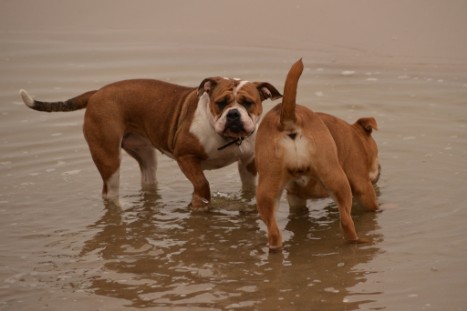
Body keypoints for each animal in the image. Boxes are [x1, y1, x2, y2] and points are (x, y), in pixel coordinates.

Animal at [20, 77, 282, 208]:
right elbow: (202, 184)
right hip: (107, 156)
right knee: (109, 192)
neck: (225, 138)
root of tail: (97, 92)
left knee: (148, 178)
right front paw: (201, 203)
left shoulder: (248, 162)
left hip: (145, 154)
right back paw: (122, 205)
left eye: (248, 103)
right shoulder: (185, 157)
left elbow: (248, 188)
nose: (234, 114)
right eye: (221, 103)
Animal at [256, 60, 380, 251]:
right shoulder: (362, 186)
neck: (356, 137)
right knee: (346, 222)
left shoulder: (296, 198)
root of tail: (288, 119)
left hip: (268, 186)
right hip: (337, 179)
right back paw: (357, 241)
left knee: (274, 231)